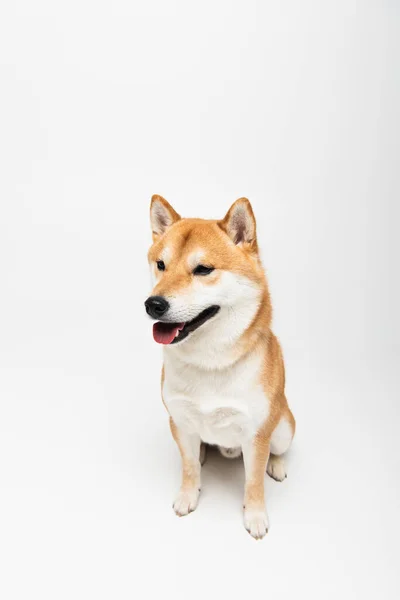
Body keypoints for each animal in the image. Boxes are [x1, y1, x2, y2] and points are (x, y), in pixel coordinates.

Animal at [144, 193, 294, 540]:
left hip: (283, 428)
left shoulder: (256, 434)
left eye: (203, 269)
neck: (209, 362)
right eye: (161, 265)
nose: (153, 304)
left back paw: (277, 465)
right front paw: (188, 495)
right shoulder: (179, 419)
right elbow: (188, 468)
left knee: (278, 449)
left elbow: (253, 482)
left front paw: (255, 516)